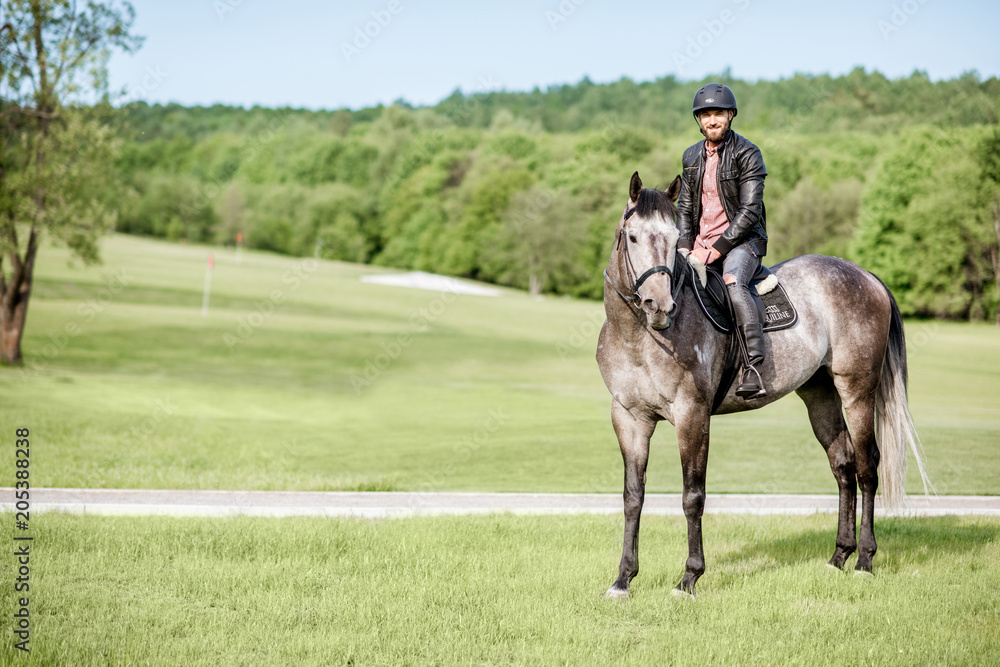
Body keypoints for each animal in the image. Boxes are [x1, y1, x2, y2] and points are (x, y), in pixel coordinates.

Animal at [592, 174, 928, 600]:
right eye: (632, 237)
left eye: (671, 239)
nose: (660, 305)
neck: (638, 336)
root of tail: (867, 276)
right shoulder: (629, 418)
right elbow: (633, 497)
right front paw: (623, 579)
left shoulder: (692, 415)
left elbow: (692, 497)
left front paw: (689, 578)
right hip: (820, 396)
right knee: (844, 466)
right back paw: (839, 556)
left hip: (857, 391)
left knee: (868, 467)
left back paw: (865, 561)